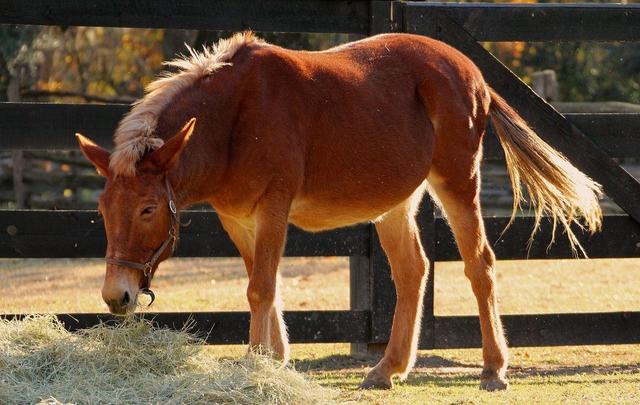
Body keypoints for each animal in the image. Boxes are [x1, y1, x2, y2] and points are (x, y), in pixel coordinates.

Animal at [77, 33, 604, 390]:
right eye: (103, 208)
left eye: (148, 208)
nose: (116, 296)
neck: (233, 118)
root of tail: (474, 74)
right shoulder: (238, 219)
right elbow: (266, 285)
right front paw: (275, 360)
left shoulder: (273, 208)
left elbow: (260, 287)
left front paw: (256, 363)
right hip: (395, 203)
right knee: (412, 270)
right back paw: (388, 367)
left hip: (456, 184)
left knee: (480, 266)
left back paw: (493, 368)